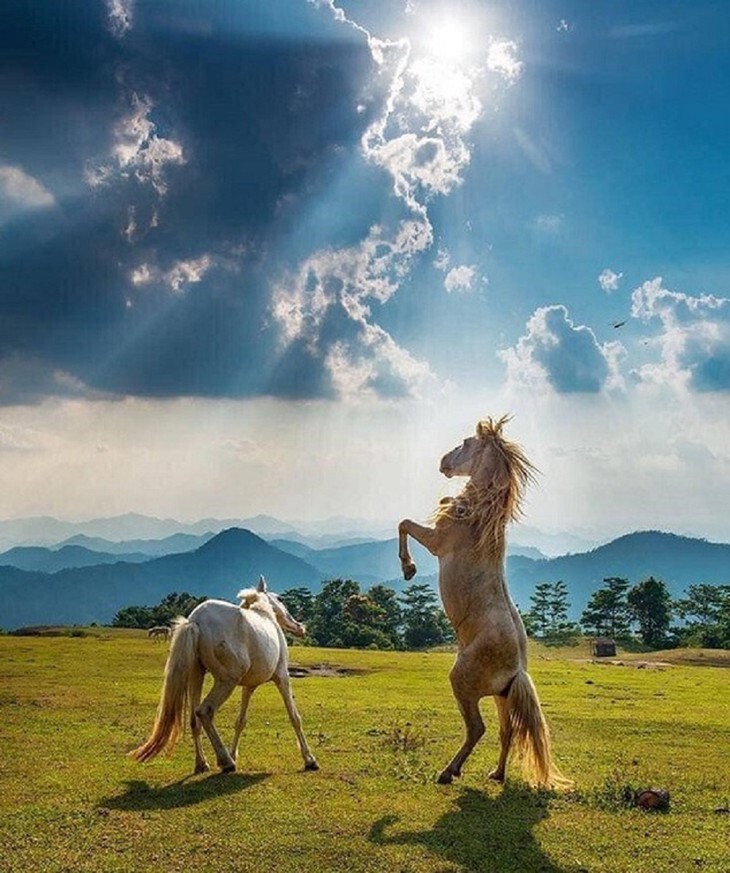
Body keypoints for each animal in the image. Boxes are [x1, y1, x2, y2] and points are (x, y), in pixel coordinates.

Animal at [131, 576, 319, 774]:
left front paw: (234, 753)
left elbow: (240, 721)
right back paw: (225, 761)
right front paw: (309, 759)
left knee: (194, 720)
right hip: (226, 682)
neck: (264, 613)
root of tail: (195, 621)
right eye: (280, 599)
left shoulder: (249, 686)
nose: (300, 627)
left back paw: (202, 763)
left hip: (197, 676)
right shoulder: (282, 676)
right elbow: (294, 717)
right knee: (204, 711)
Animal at [398, 416, 571, 789]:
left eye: (465, 442)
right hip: (501, 697)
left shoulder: (435, 542)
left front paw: (408, 568)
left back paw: (448, 772)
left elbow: (403, 523)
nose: (443, 462)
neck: (477, 513)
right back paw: (497, 773)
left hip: (463, 684)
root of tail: (516, 669)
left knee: (478, 728)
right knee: (508, 731)